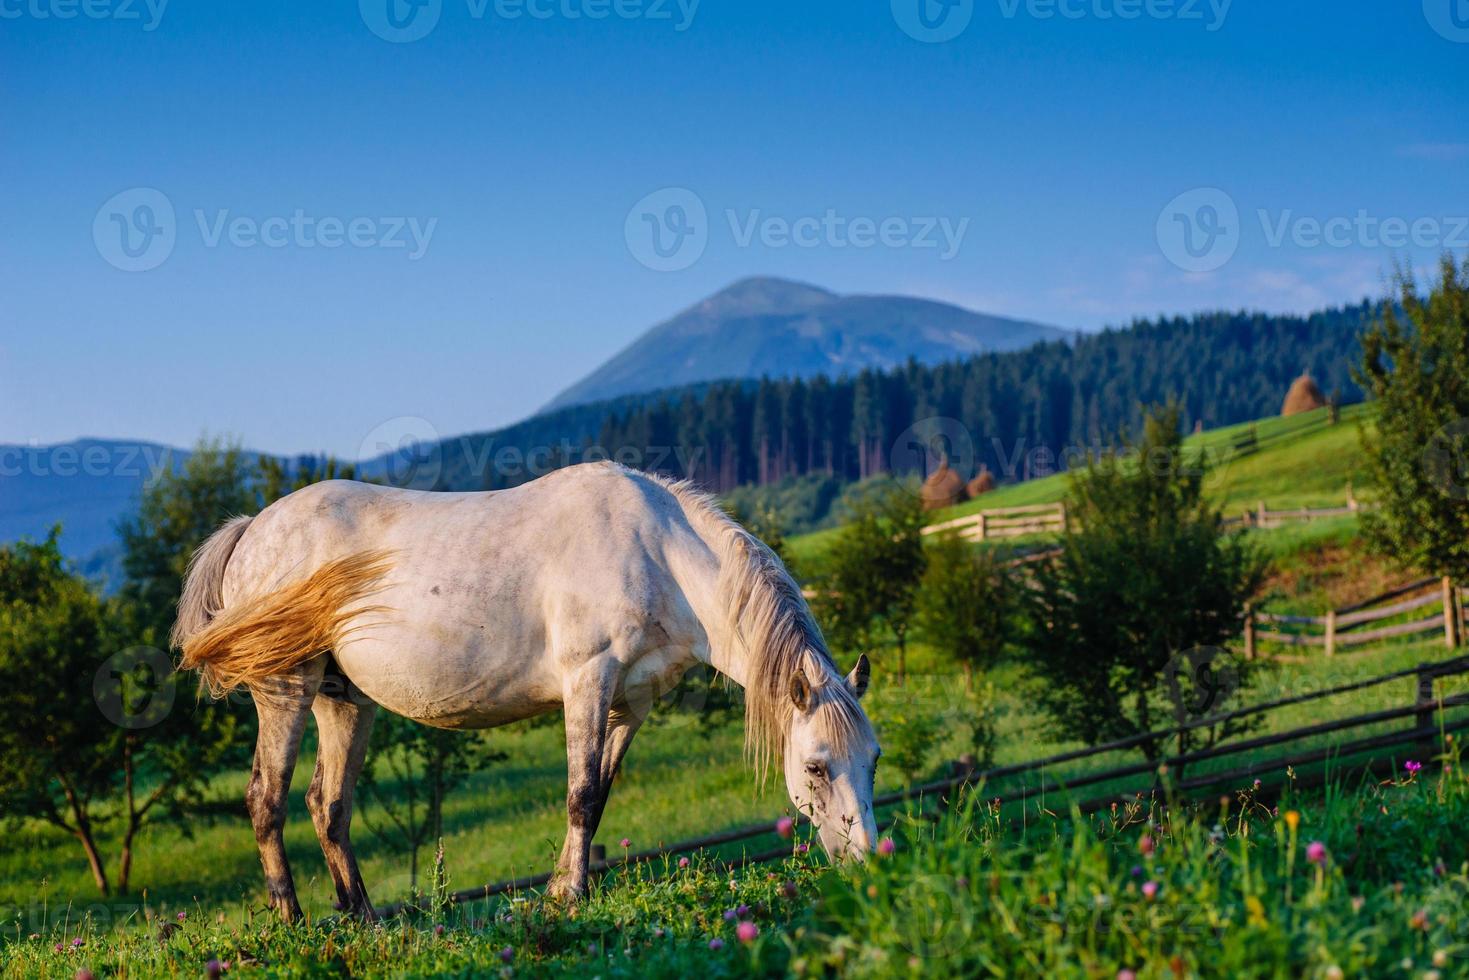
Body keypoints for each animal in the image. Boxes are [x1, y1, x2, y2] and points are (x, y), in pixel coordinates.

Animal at [176, 461, 875, 922]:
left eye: (874, 760)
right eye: (816, 766)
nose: (869, 862)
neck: (659, 553)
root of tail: (251, 530)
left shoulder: (630, 704)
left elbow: (599, 797)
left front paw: (564, 889)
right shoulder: (588, 681)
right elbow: (580, 795)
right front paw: (572, 896)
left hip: (342, 700)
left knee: (328, 805)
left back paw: (363, 918)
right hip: (285, 689)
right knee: (266, 800)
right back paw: (293, 922)